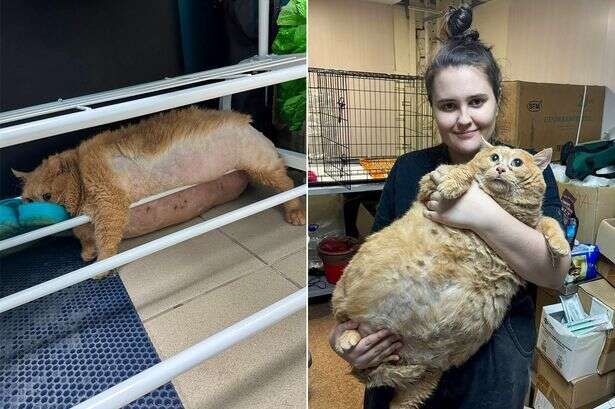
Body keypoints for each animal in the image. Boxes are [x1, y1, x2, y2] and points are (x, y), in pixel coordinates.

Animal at [13, 107, 304, 278]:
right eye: (27, 199)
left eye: (47, 197)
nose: (34, 213)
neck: (81, 175)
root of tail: (244, 119)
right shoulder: (88, 222)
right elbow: (85, 239)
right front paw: (87, 252)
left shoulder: (110, 206)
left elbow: (106, 241)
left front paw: (101, 265)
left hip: (261, 166)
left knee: (287, 183)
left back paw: (295, 211)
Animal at [334, 143, 572, 404]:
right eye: (494, 157)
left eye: (517, 163)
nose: (500, 168)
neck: (500, 204)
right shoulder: (428, 187)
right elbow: (460, 171)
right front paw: (453, 185)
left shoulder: (532, 226)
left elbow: (551, 222)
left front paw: (561, 247)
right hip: (342, 297)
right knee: (345, 322)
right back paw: (348, 341)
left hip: (418, 387)